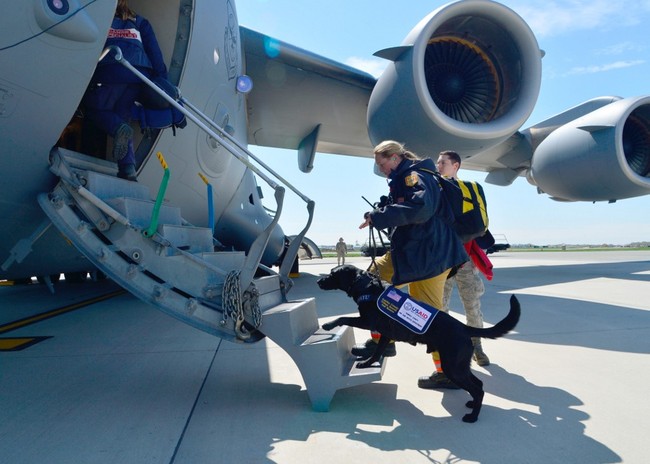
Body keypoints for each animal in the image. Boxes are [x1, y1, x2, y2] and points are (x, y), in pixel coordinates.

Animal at [316, 262, 520, 422]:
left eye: (333, 274)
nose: (318, 281)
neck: (366, 286)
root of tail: (463, 327)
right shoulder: (385, 334)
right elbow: (377, 352)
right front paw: (367, 363)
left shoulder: (367, 321)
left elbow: (344, 317)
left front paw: (328, 324)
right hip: (460, 365)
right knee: (479, 384)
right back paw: (472, 404)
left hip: (453, 366)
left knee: (477, 389)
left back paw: (473, 417)